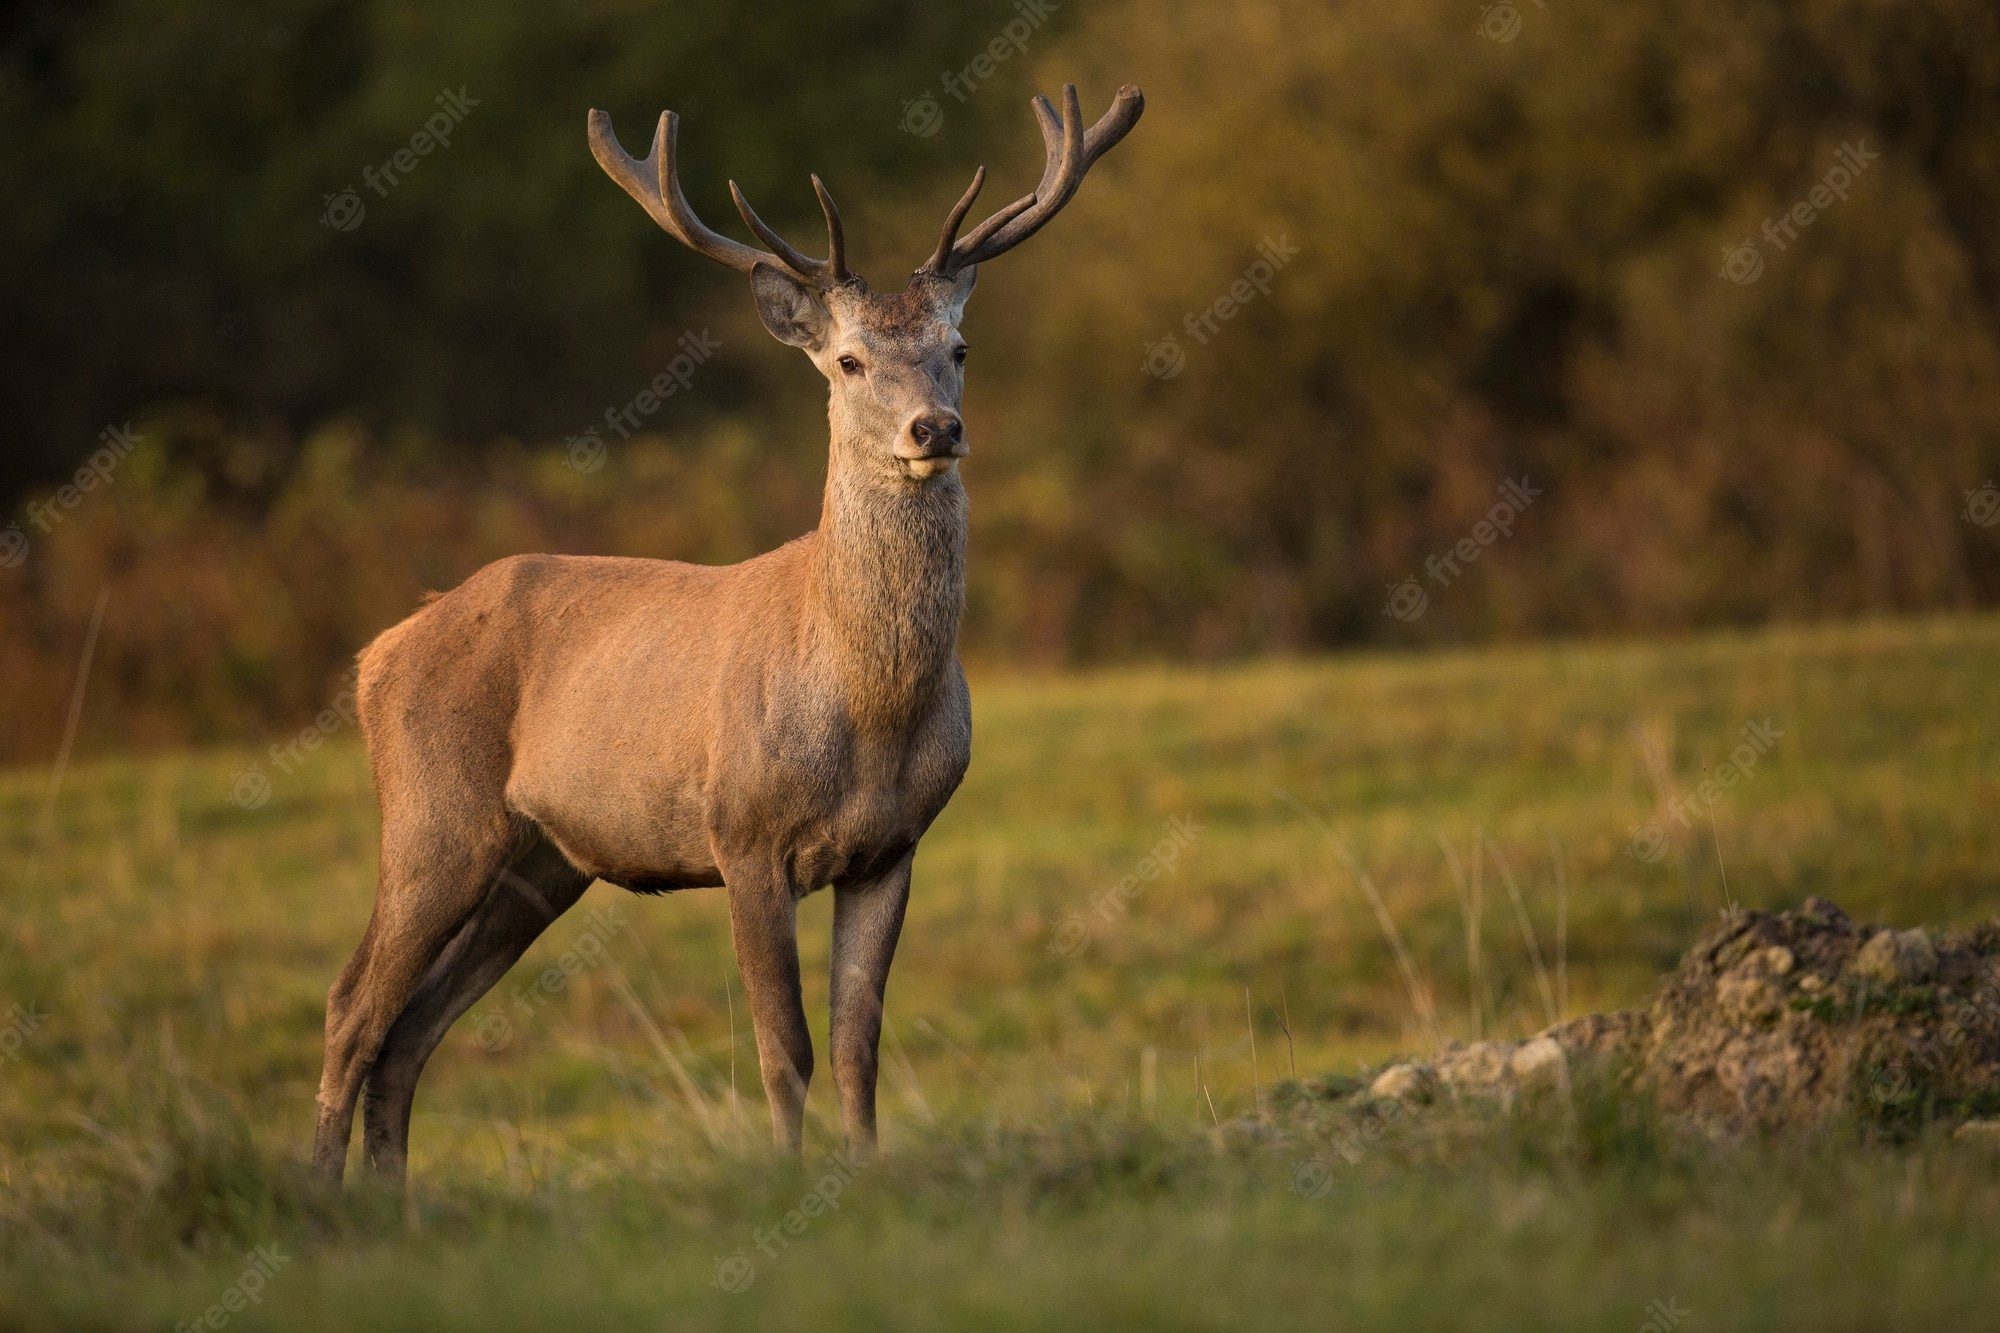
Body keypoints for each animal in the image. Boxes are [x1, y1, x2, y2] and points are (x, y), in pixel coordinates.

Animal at [314, 85, 1152, 1184]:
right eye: (848, 359)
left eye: (959, 350)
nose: (935, 428)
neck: (867, 708)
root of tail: (378, 652)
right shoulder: (743, 832)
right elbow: (782, 1042)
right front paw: (788, 1179)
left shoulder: (893, 845)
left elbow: (858, 1039)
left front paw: (864, 1172)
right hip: (431, 814)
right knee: (352, 1005)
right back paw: (318, 1194)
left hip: (540, 861)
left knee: (411, 1027)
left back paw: (389, 1200)